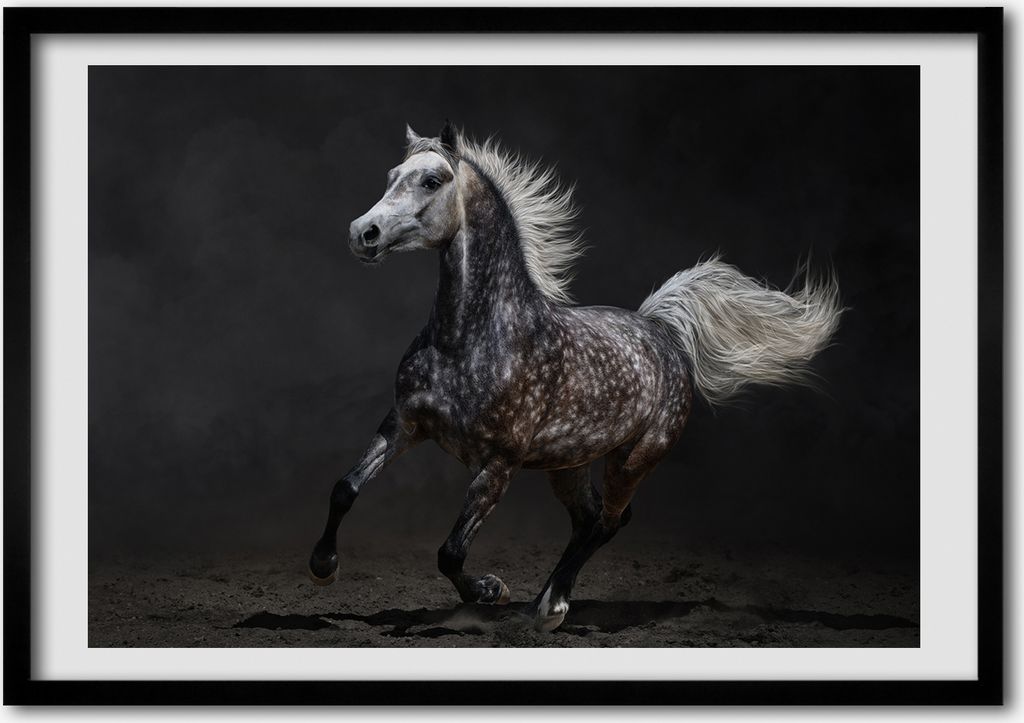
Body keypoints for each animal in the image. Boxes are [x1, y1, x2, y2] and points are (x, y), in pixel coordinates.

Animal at [309, 122, 842, 632]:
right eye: (391, 177)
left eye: (432, 180)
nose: (363, 232)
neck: (469, 340)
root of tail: (661, 331)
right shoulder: (404, 424)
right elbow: (345, 488)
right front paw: (323, 567)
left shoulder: (499, 463)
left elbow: (451, 553)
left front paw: (491, 592)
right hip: (569, 464)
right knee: (588, 522)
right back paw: (545, 602)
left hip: (633, 459)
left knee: (608, 522)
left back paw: (549, 608)